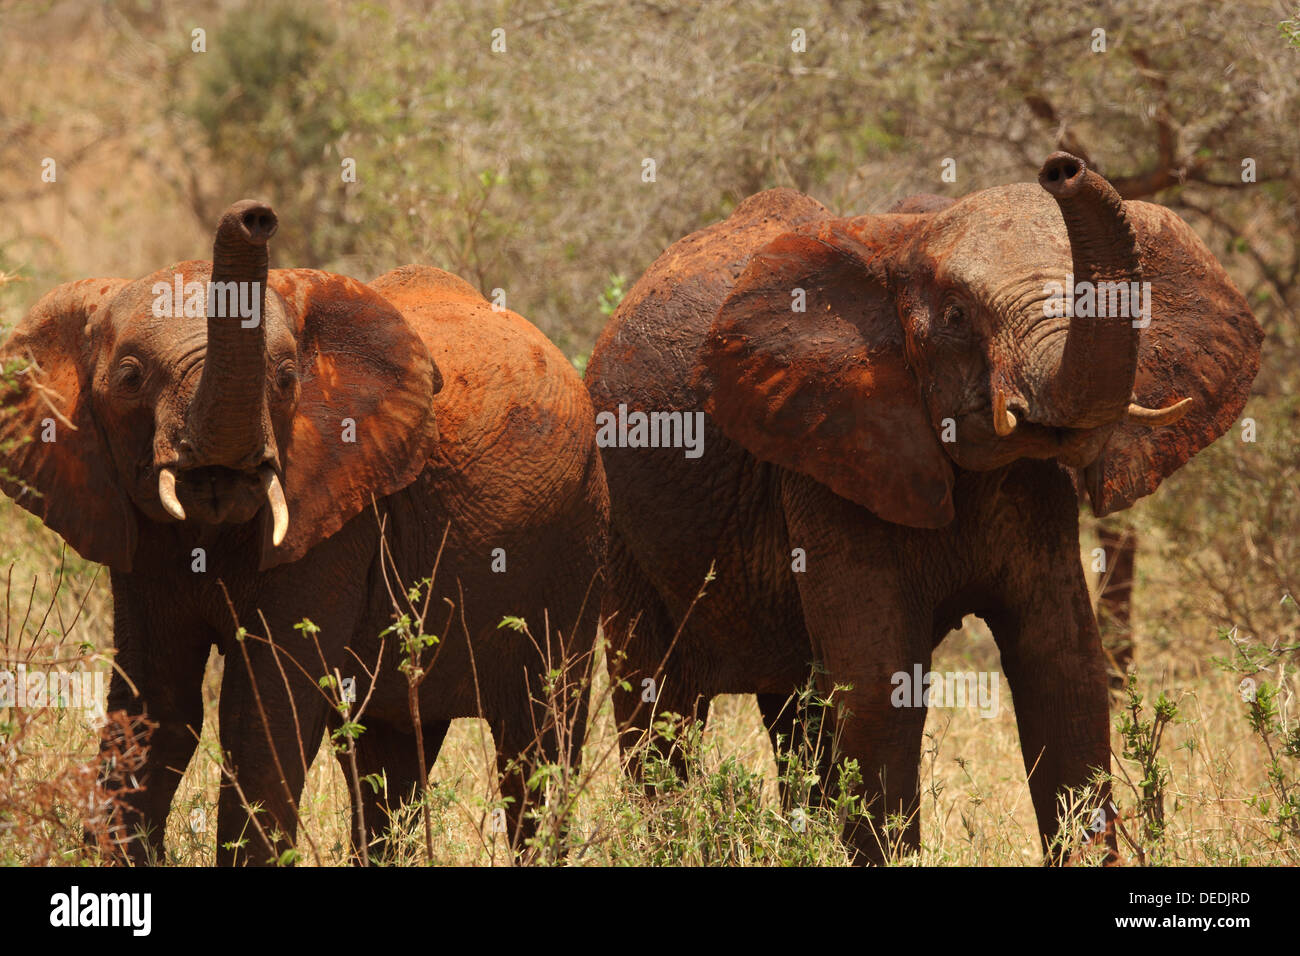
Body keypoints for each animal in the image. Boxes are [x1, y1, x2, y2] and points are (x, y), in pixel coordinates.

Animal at [0, 201, 608, 868]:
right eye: (130, 378)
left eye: (288, 378)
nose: (255, 216)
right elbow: (155, 704)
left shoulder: (340, 520)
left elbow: (264, 709)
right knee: (390, 752)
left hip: (579, 540)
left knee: (539, 739)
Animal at [587, 153, 1258, 863]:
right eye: (958, 316)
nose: (1062, 167)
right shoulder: (827, 458)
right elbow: (881, 684)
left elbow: (1065, 666)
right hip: (622, 528)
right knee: (658, 706)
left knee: (796, 713)